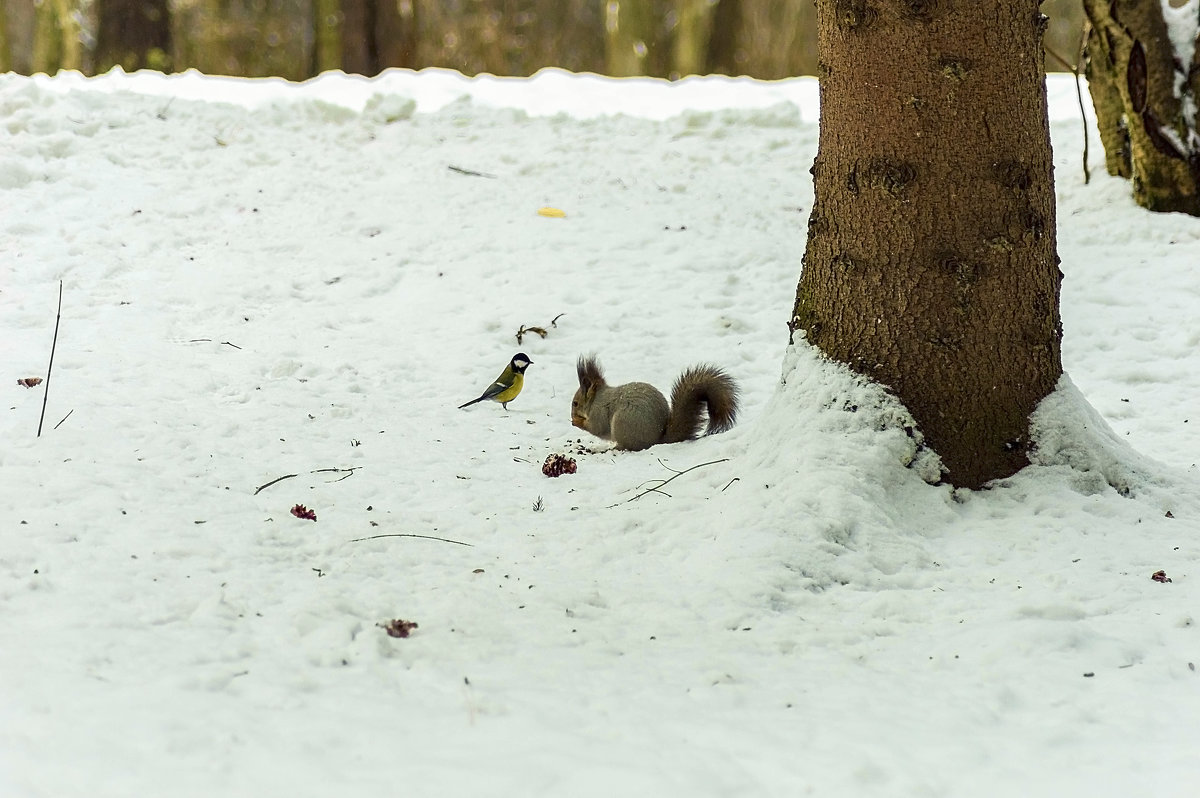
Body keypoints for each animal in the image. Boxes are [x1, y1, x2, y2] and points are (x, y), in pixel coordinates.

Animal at [566, 352, 734, 448]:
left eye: (575, 403)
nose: (571, 415)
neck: (596, 399)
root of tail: (658, 439)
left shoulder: (598, 411)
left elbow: (597, 428)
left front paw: (577, 422)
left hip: (622, 424)